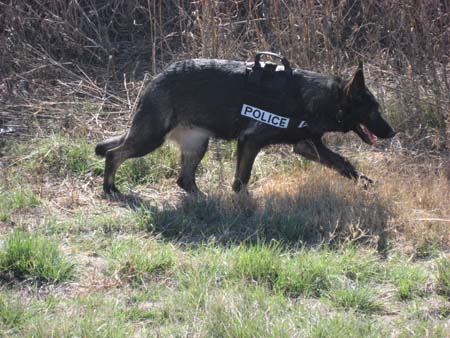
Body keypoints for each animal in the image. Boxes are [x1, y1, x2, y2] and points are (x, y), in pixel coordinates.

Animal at [95, 55, 394, 195]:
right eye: (374, 111)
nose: (392, 132)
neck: (322, 99)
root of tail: (157, 78)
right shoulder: (250, 142)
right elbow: (242, 180)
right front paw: (245, 205)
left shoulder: (307, 146)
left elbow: (343, 163)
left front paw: (365, 182)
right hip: (150, 138)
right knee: (114, 154)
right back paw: (109, 188)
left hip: (197, 144)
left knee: (184, 179)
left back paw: (204, 199)